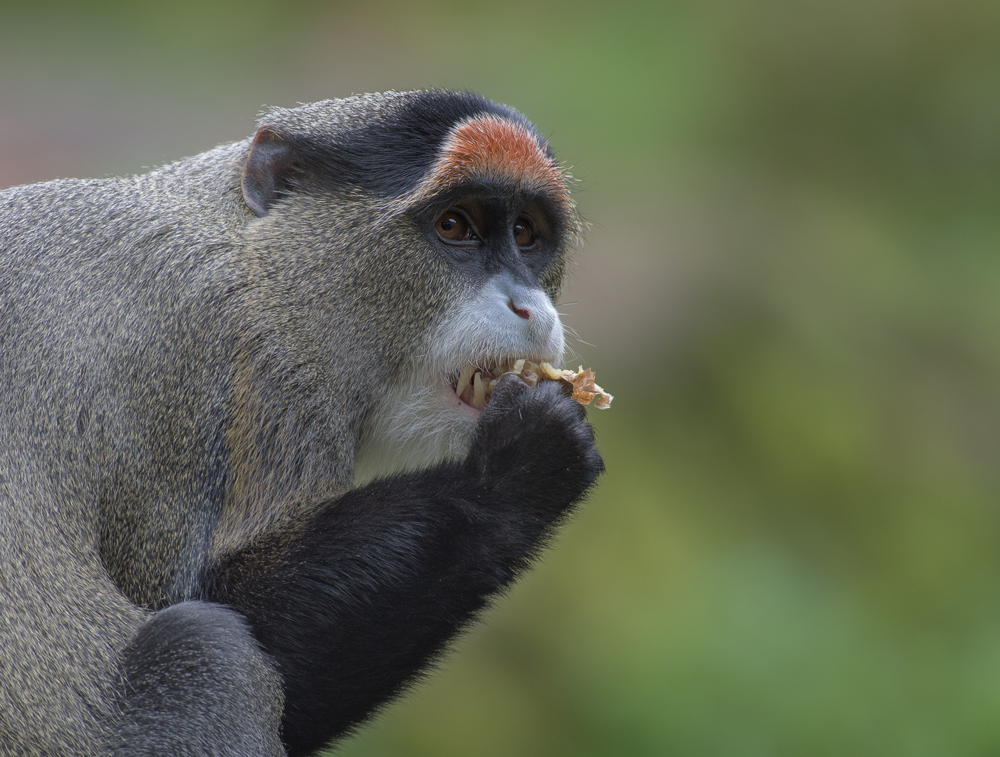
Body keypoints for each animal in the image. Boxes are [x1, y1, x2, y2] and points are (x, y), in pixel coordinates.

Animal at [0, 90, 600, 756]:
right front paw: (519, 467)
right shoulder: (239, 366)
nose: (529, 307)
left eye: (524, 232)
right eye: (454, 226)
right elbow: (225, 609)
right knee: (208, 651)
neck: (250, 254)